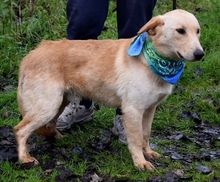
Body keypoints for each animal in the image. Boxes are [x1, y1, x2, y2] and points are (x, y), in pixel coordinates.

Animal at [13, 9, 204, 170]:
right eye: (180, 31)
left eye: (198, 31)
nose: (200, 54)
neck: (152, 60)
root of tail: (30, 55)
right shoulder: (133, 110)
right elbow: (136, 139)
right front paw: (140, 162)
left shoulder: (150, 109)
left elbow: (146, 134)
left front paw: (148, 152)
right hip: (47, 107)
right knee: (20, 130)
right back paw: (25, 158)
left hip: (59, 102)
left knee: (49, 124)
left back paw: (57, 137)